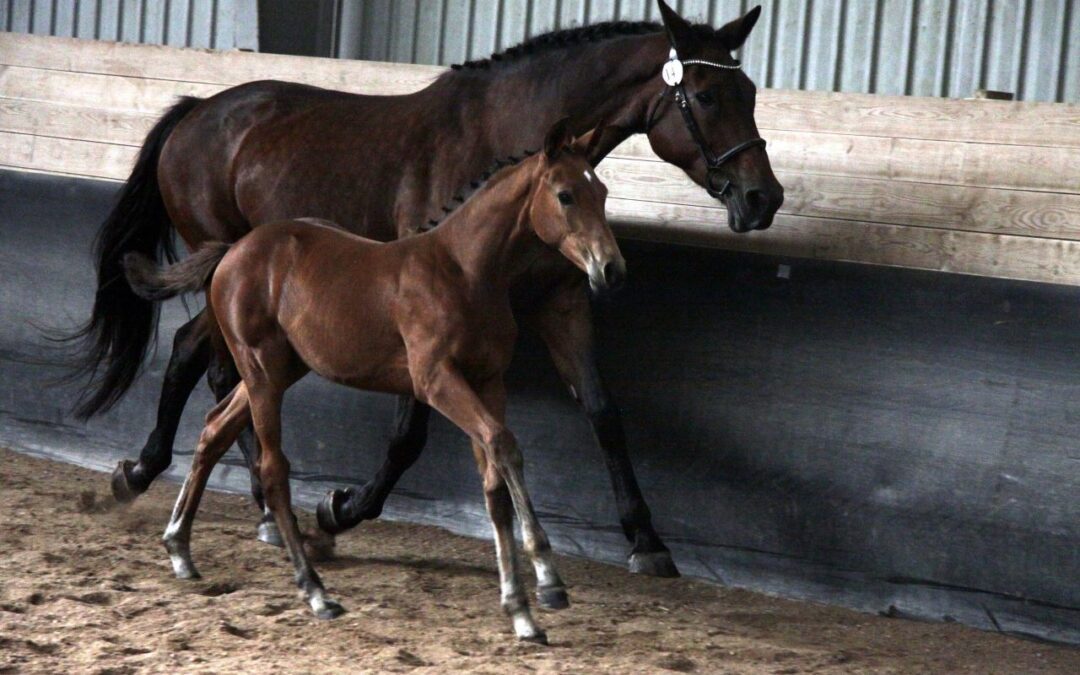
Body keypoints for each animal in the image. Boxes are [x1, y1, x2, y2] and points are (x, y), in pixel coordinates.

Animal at [71, 2, 781, 574]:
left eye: (749, 89)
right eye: (708, 96)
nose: (763, 198)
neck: (510, 143)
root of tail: (196, 112)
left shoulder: (561, 300)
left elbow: (603, 410)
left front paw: (647, 541)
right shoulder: (419, 317)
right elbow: (409, 435)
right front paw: (341, 511)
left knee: (205, 362)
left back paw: (208, 492)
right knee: (212, 365)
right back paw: (201, 491)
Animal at [122, 120, 622, 643]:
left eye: (602, 192)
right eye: (565, 195)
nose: (610, 269)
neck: (463, 270)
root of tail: (232, 251)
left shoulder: (488, 382)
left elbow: (494, 479)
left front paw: (523, 607)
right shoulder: (436, 380)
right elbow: (504, 446)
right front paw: (548, 580)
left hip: (279, 371)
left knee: (215, 428)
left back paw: (179, 547)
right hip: (259, 370)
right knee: (272, 469)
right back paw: (315, 591)